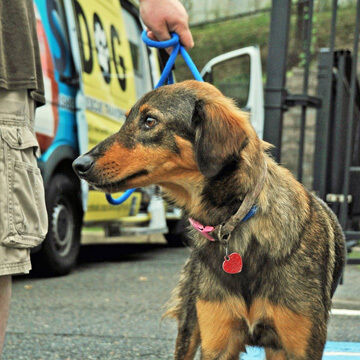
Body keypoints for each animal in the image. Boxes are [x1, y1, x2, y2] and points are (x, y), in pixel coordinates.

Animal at [72, 81, 346, 360]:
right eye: (127, 118)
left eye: (149, 121)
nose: (78, 164)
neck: (236, 221)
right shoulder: (217, 341)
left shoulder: (299, 346)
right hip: (190, 322)